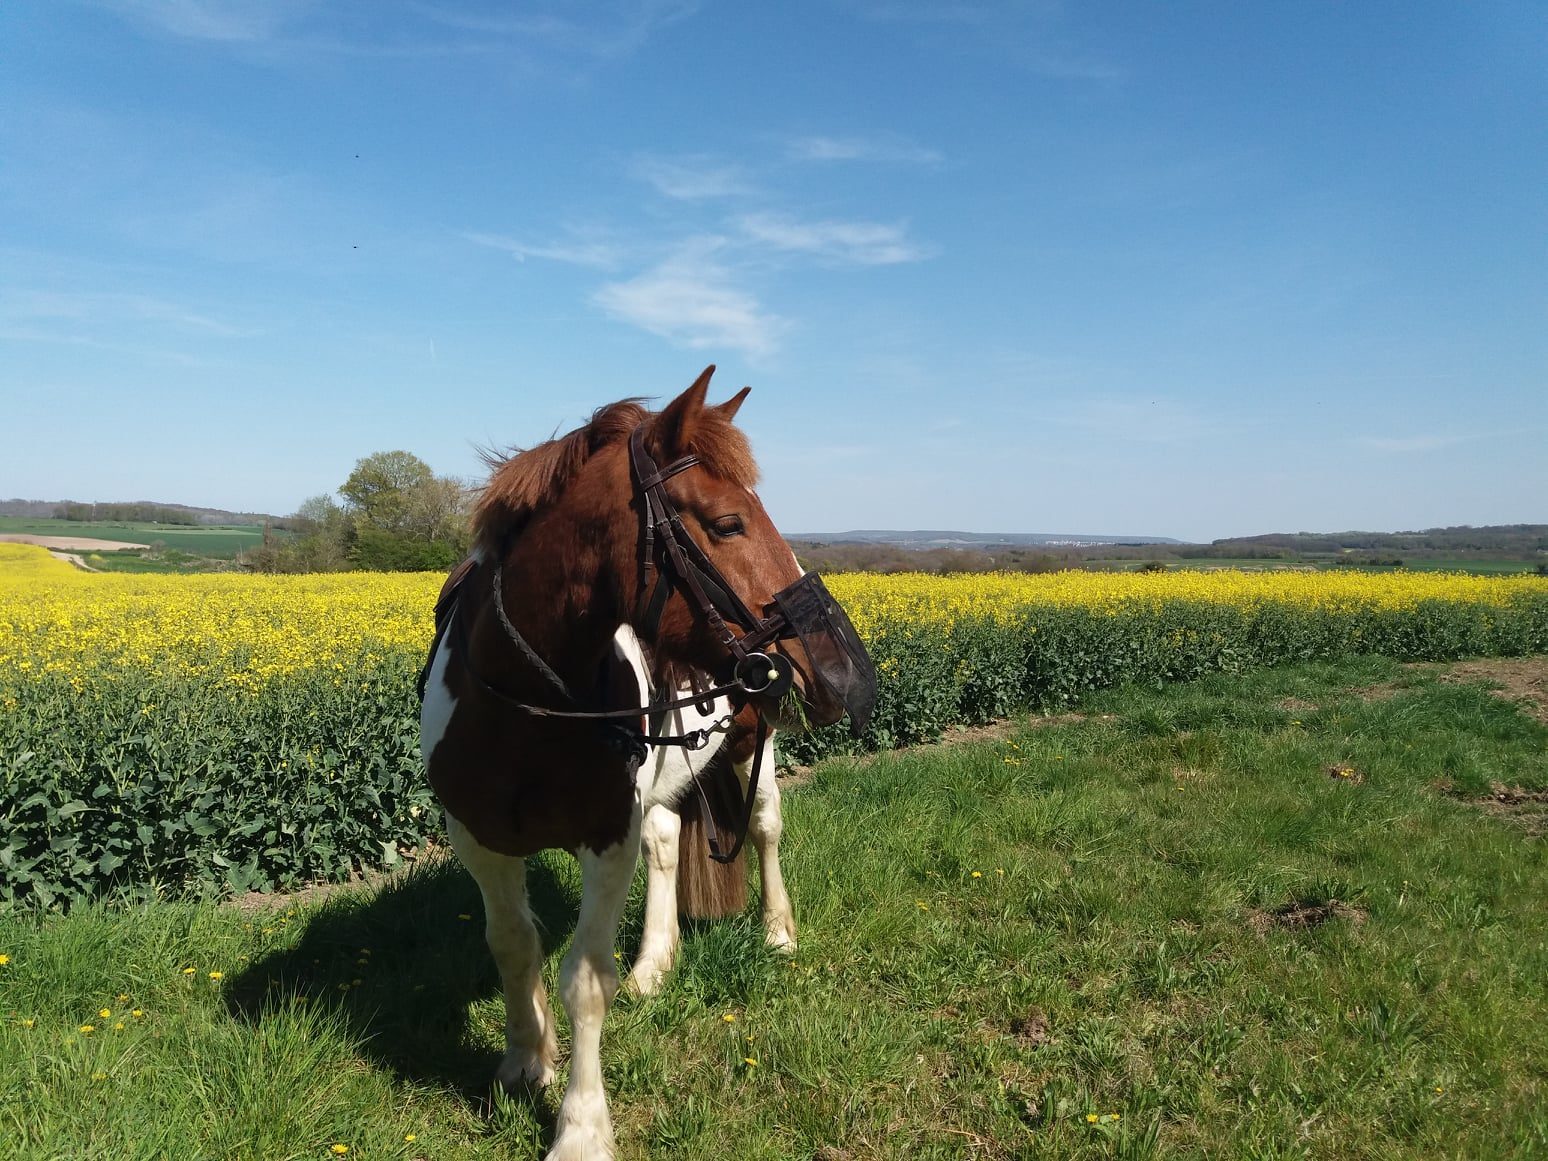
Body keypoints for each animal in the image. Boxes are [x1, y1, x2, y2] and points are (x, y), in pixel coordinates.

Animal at [417, 368, 879, 1157]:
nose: (843, 674)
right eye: (728, 523)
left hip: (756, 743)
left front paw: (580, 1127)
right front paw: (526, 1055)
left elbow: (584, 978)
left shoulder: (607, 836)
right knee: (666, 841)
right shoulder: (478, 839)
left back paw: (776, 931)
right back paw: (655, 963)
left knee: (764, 828)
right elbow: (513, 944)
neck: (522, 704)